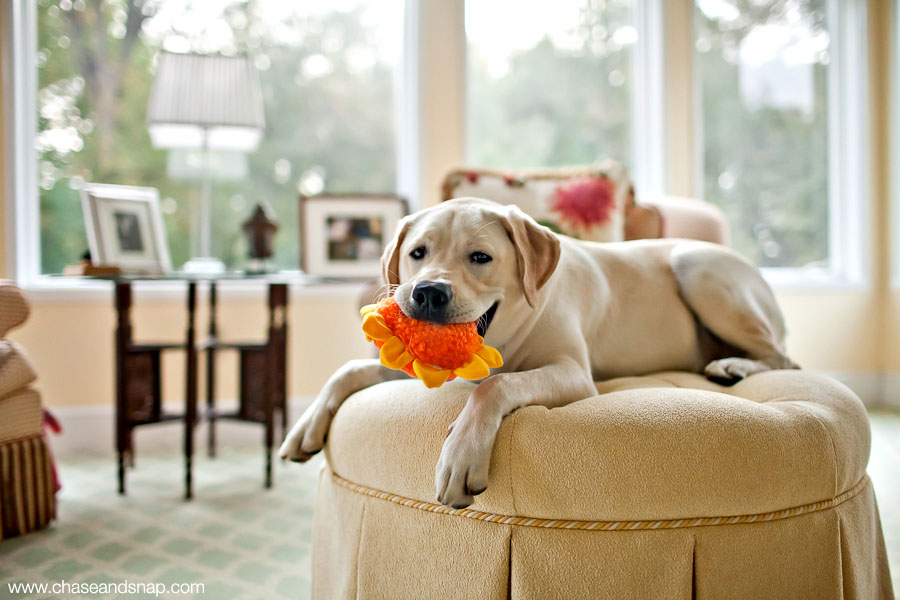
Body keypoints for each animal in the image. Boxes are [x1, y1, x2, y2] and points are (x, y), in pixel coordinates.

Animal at [280, 199, 796, 508]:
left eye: (480, 257)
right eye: (417, 253)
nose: (427, 293)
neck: (503, 337)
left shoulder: (572, 372)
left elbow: (494, 385)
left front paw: (461, 453)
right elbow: (350, 368)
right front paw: (305, 425)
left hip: (697, 266)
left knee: (785, 359)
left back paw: (733, 365)